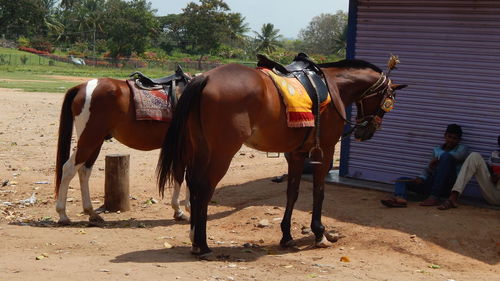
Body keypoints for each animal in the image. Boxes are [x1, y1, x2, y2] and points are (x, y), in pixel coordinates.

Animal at [55, 71, 191, 224]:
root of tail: (82, 87)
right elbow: (184, 175)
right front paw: (184, 209)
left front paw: (180, 211)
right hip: (89, 141)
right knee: (68, 169)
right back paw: (62, 214)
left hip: (95, 142)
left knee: (84, 171)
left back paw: (92, 213)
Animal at [156, 57, 406, 256]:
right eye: (389, 98)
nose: (366, 131)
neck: (334, 86)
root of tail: (205, 78)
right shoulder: (325, 151)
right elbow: (319, 192)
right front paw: (319, 233)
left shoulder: (295, 154)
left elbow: (292, 193)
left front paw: (286, 235)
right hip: (221, 153)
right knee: (205, 189)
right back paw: (202, 243)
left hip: (201, 148)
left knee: (193, 184)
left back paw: (194, 237)